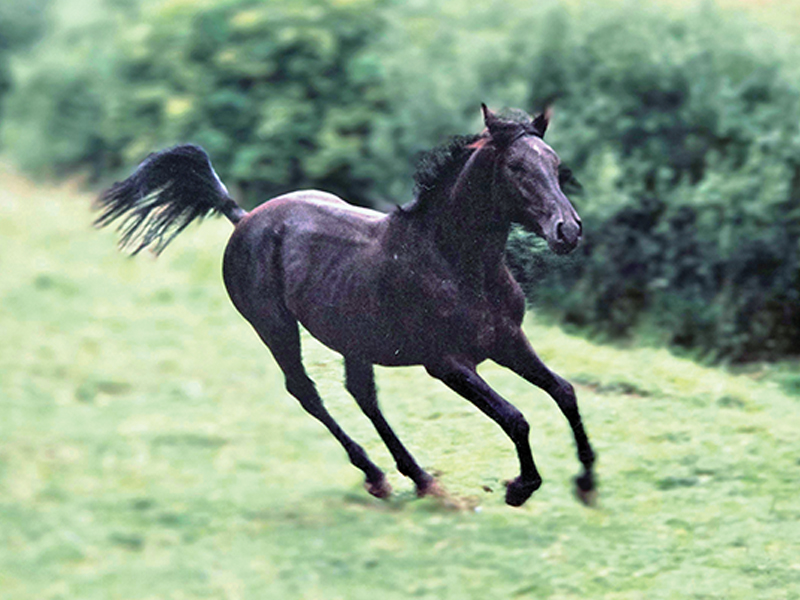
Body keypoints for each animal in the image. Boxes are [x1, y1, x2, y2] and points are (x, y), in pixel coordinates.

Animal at [95, 104, 596, 507]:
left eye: (554, 163)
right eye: (517, 167)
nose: (567, 229)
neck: (455, 263)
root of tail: (243, 218)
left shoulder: (507, 341)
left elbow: (564, 392)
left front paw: (587, 481)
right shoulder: (447, 363)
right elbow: (516, 417)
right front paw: (520, 488)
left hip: (352, 337)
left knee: (362, 394)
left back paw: (419, 479)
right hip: (275, 327)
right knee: (307, 392)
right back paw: (378, 475)